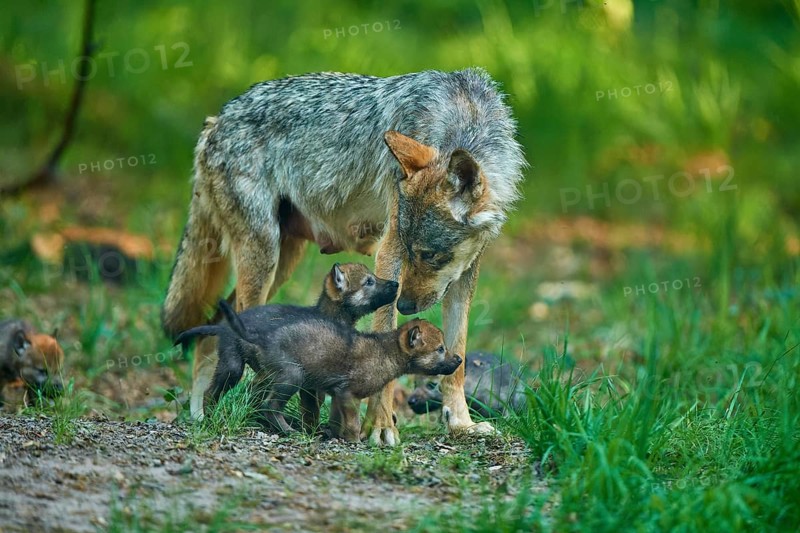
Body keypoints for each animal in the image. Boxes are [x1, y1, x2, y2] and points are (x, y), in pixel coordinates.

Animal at [162, 68, 525, 445]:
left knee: (214, 328)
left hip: (281, 265)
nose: (405, 306)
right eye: (413, 251)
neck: (463, 117)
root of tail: (216, 121)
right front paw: (380, 427)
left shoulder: (464, 274)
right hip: (264, 259)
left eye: (430, 255)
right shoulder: (389, 249)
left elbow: (459, 359)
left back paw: (204, 415)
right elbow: (387, 348)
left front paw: (461, 425)